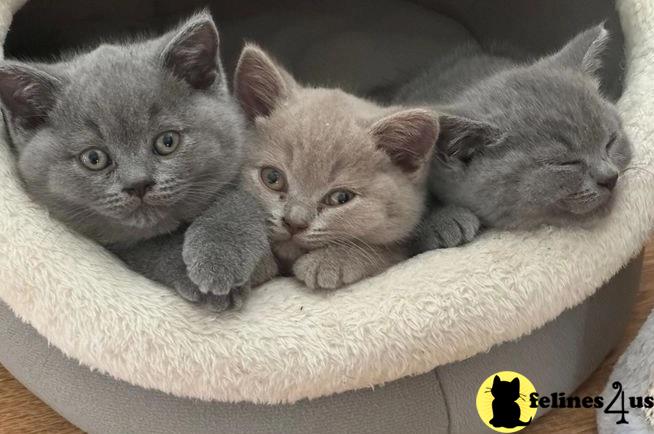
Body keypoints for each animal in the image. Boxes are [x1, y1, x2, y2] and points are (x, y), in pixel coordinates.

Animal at [0, 11, 270, 310]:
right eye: (94, 158)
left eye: (167, 141)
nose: (138, 183)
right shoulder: (120, 244)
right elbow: (148, 247)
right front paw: (198, 277)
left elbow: (239, 200)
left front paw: (219, 259)